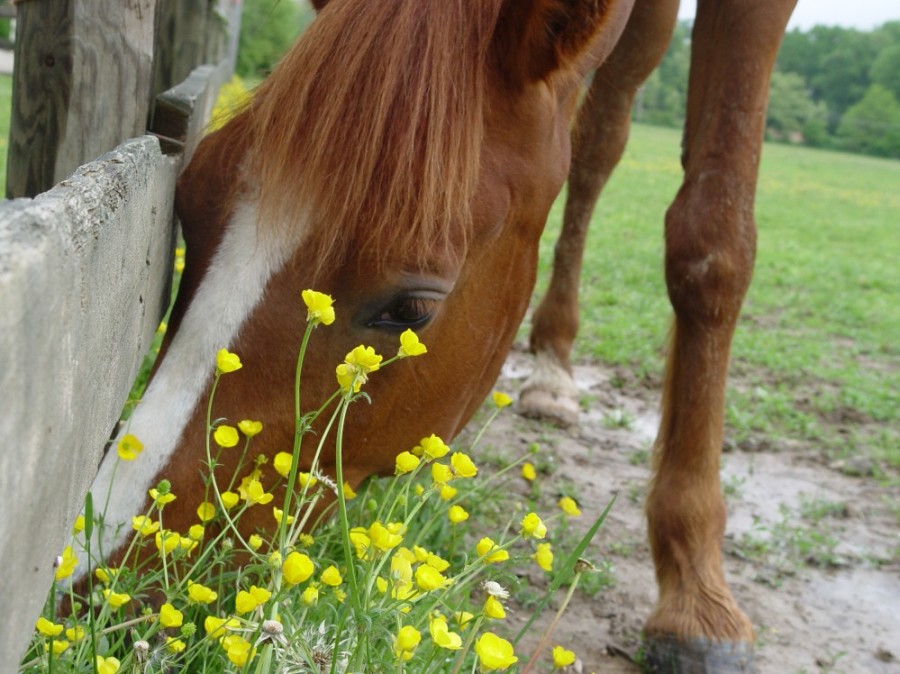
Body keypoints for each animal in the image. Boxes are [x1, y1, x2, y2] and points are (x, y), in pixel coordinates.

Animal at [81, 0, 796, 671]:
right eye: (190, 205)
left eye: (412, 308)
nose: (92, 586)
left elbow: (712, 244)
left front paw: (697, 598)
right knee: (599, 141)